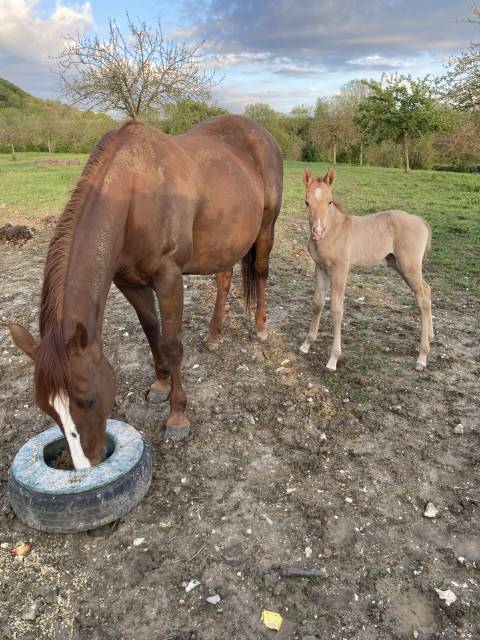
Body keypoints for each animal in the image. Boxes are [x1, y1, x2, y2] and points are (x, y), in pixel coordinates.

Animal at [9, 115, 283, 469]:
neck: (133, 193)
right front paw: (160, 385)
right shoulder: (129, 282)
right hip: (224, 241)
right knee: (223, 280)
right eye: (47, 409)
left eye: (88, 400)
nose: (88, 465)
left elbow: (172, 345)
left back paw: (260, 327)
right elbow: (153, 332)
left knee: (261, 274)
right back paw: (213, 335)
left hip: (265, 229)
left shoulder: (169, 277)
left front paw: (178, 416)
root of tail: (260, 133)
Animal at [299, 168, 433, 372]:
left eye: (329, 201)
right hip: (398, 265)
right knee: (428, 289)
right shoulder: (320, 268)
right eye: (307, 202)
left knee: (423, 296)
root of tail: (419, 220)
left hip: (408, 267)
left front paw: (333, 359)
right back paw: (431, 338)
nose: (317, 231)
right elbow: (317, 304)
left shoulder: (340, 271)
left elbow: (337, 310)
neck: (333, 231)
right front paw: (307, 344)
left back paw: (422, 357)